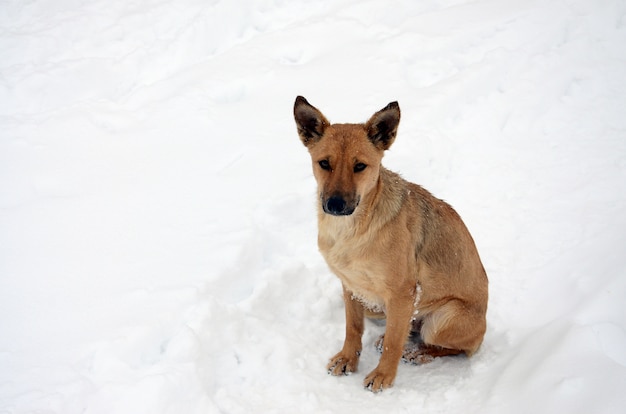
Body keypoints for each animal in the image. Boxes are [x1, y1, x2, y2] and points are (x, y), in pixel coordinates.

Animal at [292, 96, 488, 392]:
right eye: (324, 163)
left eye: (360, 166)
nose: (335, 205)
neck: (353, 230)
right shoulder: (351, 286)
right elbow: (353, 328)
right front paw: (348, 358)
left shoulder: (403, 291)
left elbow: (395, 342)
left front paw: (384, 375)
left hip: (444, 318)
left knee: (452, 348)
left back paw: (418, 352)